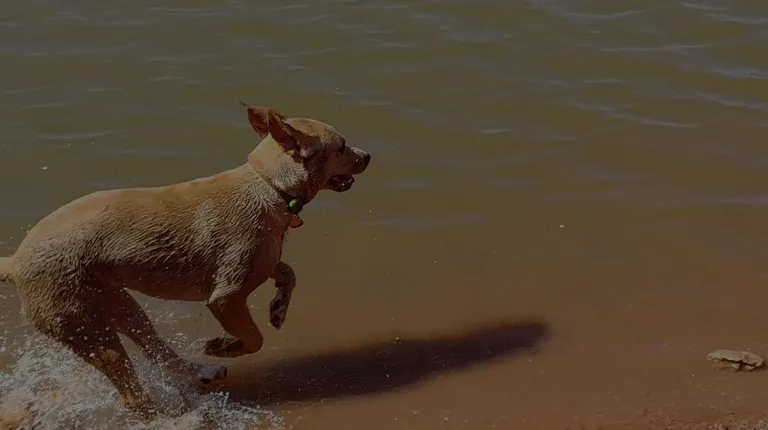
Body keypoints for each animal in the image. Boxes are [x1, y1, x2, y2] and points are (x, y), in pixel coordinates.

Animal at [0, 103, 371, 417]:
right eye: (341, 147)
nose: (367, 155)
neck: (270, 187)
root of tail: (15, 262)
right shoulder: (226, 296)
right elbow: (255, 338)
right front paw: (225, 345)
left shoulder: (260, 264)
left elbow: (288, 273)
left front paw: (278, 308)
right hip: (86, 327)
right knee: (131, 394)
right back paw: (172, 413)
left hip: (118, 303)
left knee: (157, 351)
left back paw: (202, 371)